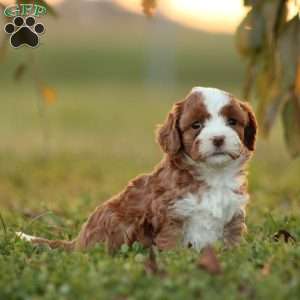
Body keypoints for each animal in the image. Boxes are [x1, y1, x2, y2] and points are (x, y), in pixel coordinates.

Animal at [18, 87, 258, 253]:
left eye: (232, 121)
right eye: (196, 125)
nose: (218, 138)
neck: (213, 174)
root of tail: (77, 243)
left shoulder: (232, 217)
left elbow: (231, 243)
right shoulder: (171, 215)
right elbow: (172, 245)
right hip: (114, 217)